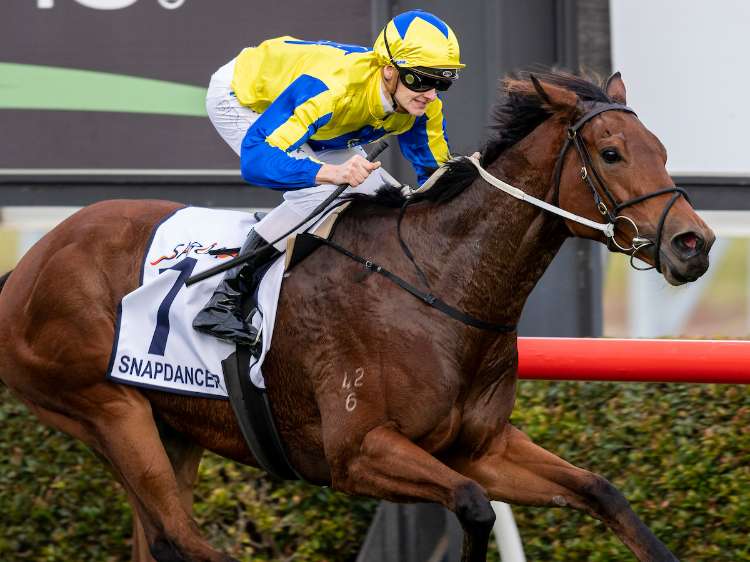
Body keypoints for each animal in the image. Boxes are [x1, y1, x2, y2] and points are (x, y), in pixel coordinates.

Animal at [0, 70, 714, 562]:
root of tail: (28, 266)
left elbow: (601, 490)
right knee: (185, 543)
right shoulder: (358, 451)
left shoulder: (480, 446)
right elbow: (474, 507)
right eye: (612, 153)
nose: (694, 243)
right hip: (106, 412)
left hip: (170, 427)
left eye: (661, 147)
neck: (437, 284)